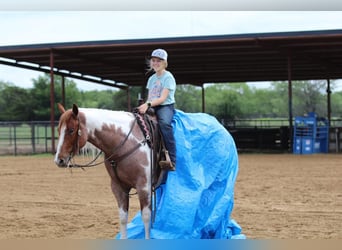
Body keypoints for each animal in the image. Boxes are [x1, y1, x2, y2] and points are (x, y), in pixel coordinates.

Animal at [53, 103, 166, 238]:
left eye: (71, 130)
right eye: (58, 130)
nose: (59, 160)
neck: (127, 142)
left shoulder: (144, 187)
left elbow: (146, 218)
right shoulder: (118, 187)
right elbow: (123, 217)